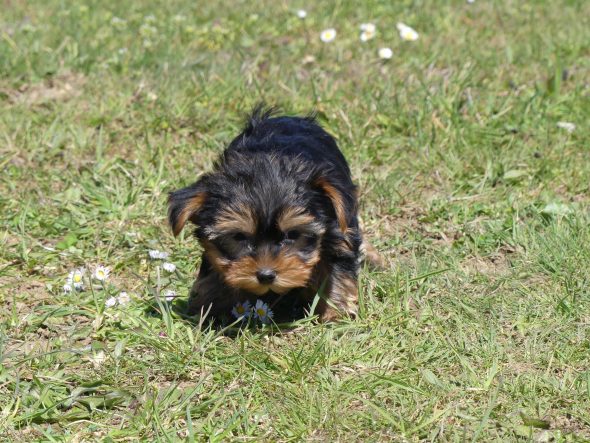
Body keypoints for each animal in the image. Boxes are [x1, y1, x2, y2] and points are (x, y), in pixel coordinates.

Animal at [169, 107, 376, 322]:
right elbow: (215, 267)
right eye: (238, 237)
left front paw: (334, 311)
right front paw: (212, 307)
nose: (266, 275)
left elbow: (336, 269)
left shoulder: (337, 229)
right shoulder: (217, 252)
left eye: (293, 235)